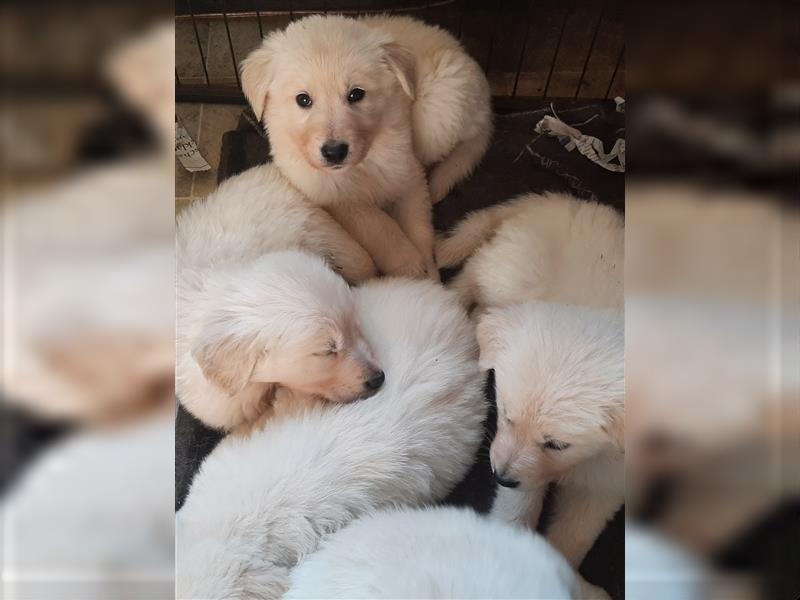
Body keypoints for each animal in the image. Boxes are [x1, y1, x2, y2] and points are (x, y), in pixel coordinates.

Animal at [241, 14, 494, 282]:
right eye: (303, 99)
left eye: (356, 94)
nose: (334, 152)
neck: (362, 163)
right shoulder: (331, 196)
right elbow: (378, 225)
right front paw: (408, 264)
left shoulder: (407, 174)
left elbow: (419, 226)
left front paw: (428, 275)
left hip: (440, 106)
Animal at [482, 302, 624, 576]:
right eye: (506, 415)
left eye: (557, 445)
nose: (501, 478)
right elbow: (519, 504)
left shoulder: (606, 482)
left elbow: (576, 531)